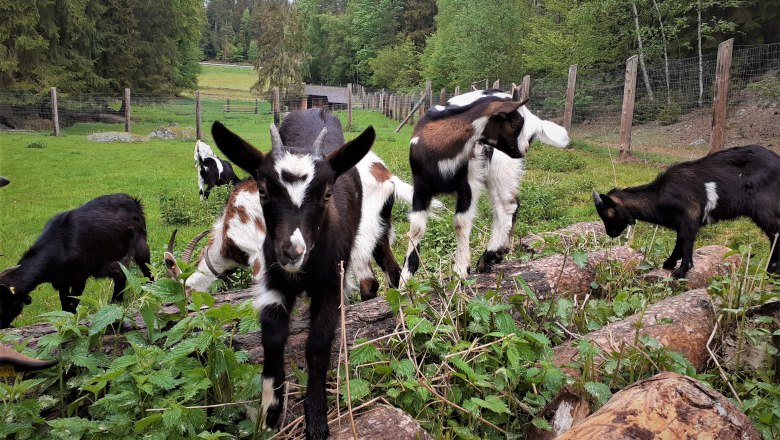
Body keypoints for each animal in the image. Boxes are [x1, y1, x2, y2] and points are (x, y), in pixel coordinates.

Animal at [0, 194, 154, 328]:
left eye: (3, 304)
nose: (2, 326)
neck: (60, 246)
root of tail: (134, 200)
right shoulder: (61, 282)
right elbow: (64, 305)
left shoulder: (79, 279)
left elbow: (73, 304)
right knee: (121, 276)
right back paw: (115, 303)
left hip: (140, 247)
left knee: (148, 272)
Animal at [210, 107, 374, 440]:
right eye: (262, 190)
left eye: (327, 194)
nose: (292, 251)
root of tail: (317, 110)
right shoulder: (273, 280)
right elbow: (272, 337)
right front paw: (270, 409)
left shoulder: (330, 286)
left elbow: (318, 345)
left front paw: (317, 419)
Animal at [402, 90, 568, 284]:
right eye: (514, 122)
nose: (524, 148)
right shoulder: (421, 187)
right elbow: (416, 228)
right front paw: (405, 277)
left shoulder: (469, 184)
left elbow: (460, 223)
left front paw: (461, 270)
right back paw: (498, 253)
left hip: (500, 169)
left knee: (507, 207)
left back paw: (489, 256)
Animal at [596, 145, 780, 278]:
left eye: (608, 213)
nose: (611, 234)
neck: (659, 195)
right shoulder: (682, 221)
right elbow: (679, 240)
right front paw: (669, 263)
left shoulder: (689, 216)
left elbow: (686, 240)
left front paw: (682, 270)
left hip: (764, 209)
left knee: (775, 235)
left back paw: (770, 272)